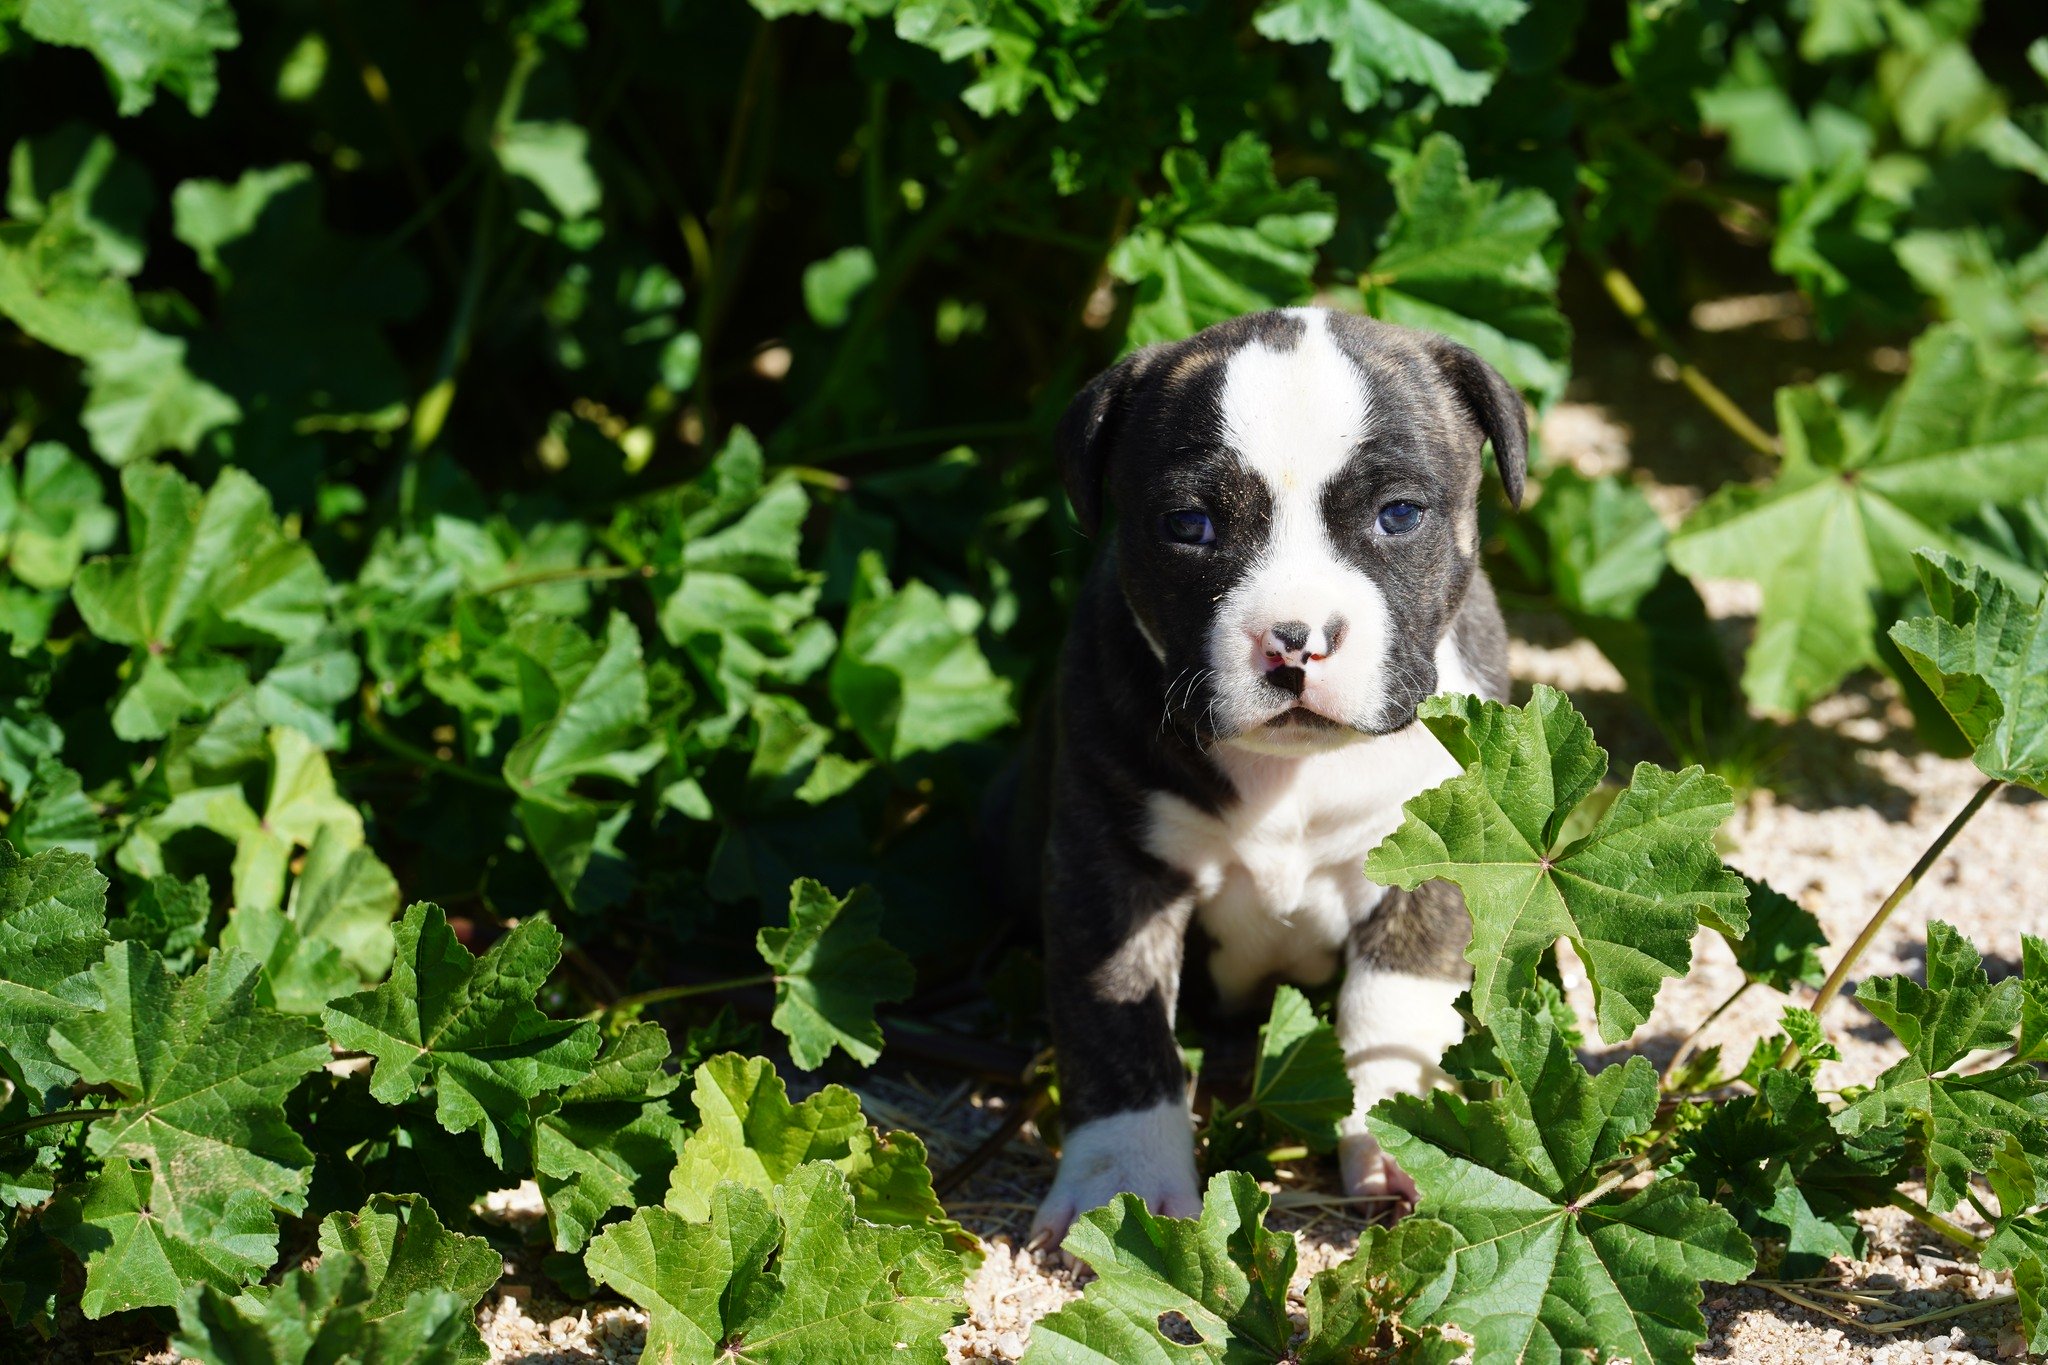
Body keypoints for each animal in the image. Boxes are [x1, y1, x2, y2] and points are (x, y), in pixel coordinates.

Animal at [1040, 304, 1523, 1244]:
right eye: (1189, 525)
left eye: (1399, 514)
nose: (1296, 639)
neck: (1294, 775)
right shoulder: (1107, 862)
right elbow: (1117, 1014)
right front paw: (1124, 1177)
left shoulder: (1440, 860)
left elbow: (1391, 1005)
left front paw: (1404, 1135)